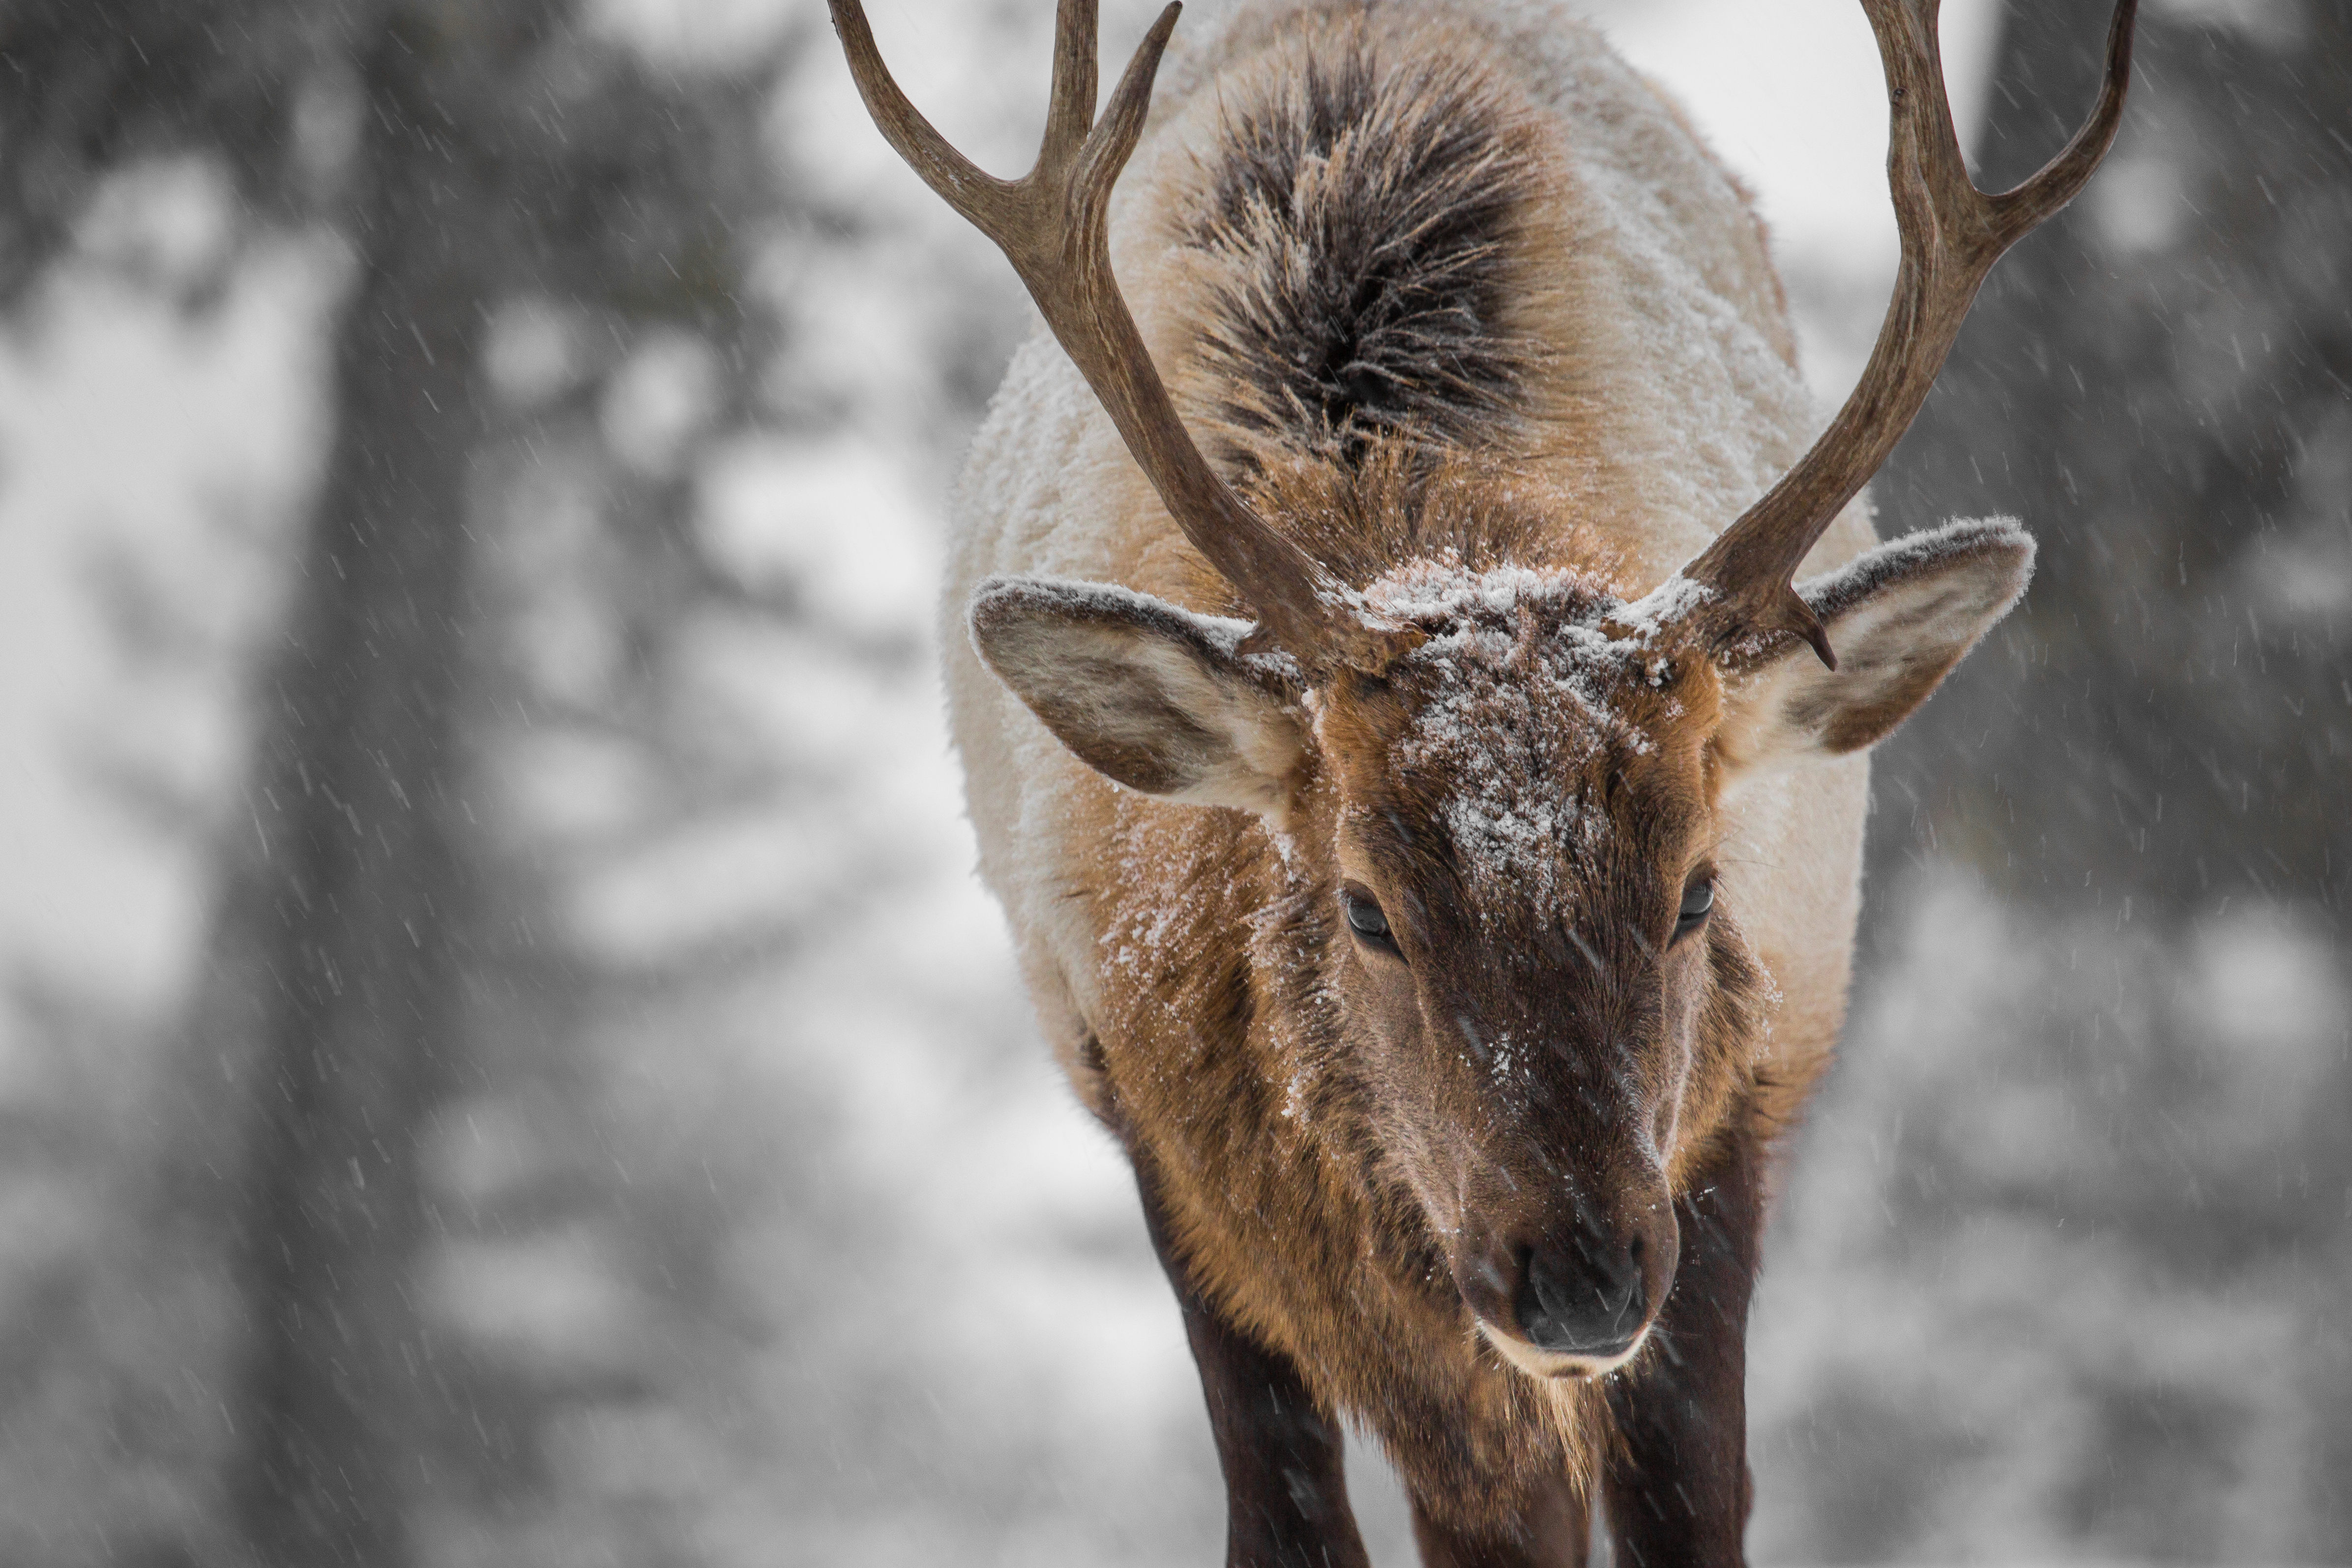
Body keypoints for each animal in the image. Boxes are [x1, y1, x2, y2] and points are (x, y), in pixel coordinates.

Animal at [829, 0, 2134, 1561]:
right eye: (1365, 905)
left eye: (1698, 889)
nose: (1575, 1278)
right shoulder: (1177, 1154)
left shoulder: (1724, 1136)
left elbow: (1688, 1508)